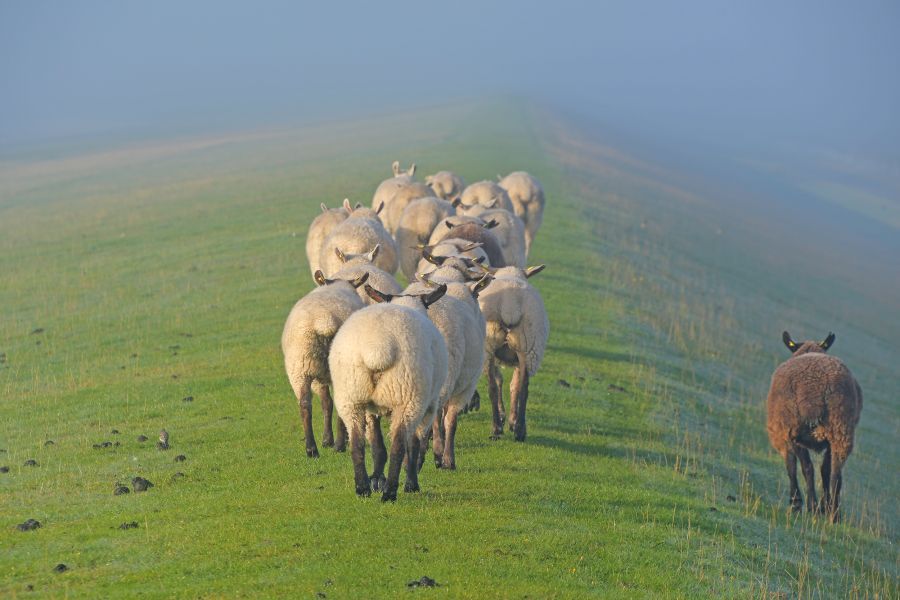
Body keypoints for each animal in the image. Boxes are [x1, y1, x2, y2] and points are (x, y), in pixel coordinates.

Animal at [281, 270, 370, 458]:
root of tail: (323, 321)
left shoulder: (317, 376)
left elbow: (325, 403)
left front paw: (327, 440)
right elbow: (329, 403)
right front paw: (333, 440)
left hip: (299, 368)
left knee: (305, 405)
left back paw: (311, 449)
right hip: (336, 368)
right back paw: (340, 445)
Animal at [329, 284, 449, 501]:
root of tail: (377, 348)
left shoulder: (371, 408)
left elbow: (377, 445)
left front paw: (376, 479)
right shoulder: (429, 407)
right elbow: (415, 444)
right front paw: (411, 483)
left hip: (351, 397)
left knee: (357, 443)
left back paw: (363, 488)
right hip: (409, 397)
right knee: (399, 445)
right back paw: (390, 492)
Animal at [478, 265, 549, 442]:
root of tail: (510, 305)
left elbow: (503, 383)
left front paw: (506, 419)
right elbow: (514, 386)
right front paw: (511, 421)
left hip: (489, 347)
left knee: (492, 387)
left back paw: (497, 428)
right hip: (528, 346)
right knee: (523, 389)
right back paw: (519, 431)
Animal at [766, 331, 863, 522]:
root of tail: (818, 386)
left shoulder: (784, 435)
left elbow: (792, 467)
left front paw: (796, 503)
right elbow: (824, 470)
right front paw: (824, 506)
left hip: (795, 430)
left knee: (808, 468)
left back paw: (813, 506)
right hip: (840, 429)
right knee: (834, 472)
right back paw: (833, 512)